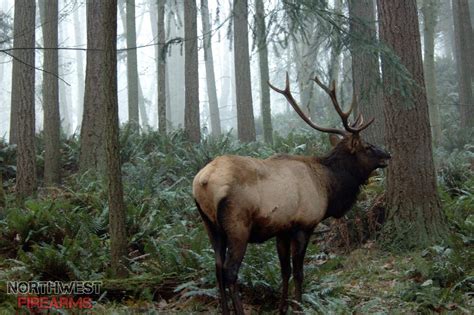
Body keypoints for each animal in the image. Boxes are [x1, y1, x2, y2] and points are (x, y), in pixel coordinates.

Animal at [191, 73, 390, 314]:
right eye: (367, 147)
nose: (387, 155)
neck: (328, 187)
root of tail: (203, 181)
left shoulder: (282, 230)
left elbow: (284, 270)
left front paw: (282, 308)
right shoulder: (303, 225)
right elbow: (298, 272)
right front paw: (299, 306)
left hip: (210, 224)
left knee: (217, 267)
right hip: (238, 224)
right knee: (230, 271)